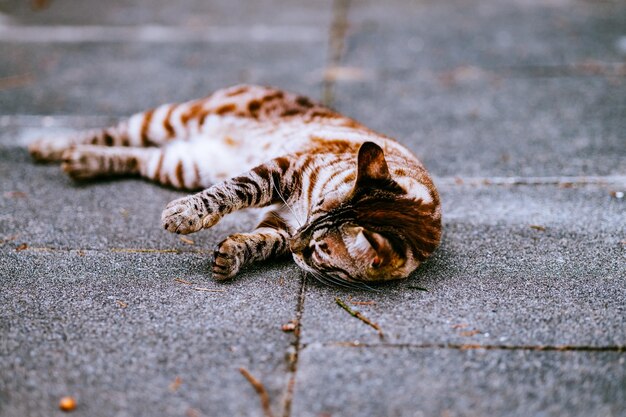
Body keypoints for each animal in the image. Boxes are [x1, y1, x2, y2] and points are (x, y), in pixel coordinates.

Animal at [29, 83, 438, 288]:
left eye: (319, 250)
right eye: (318, 208)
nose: (298, 242)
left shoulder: (282, 223)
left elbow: (260, 242)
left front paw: (233, 255)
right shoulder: (283, 171)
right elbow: (231, 192)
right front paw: (186, 213)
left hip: (179, 165)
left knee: (136, 156)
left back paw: (84, 162)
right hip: (166, 119)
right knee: (104, 133)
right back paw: (50, 146)